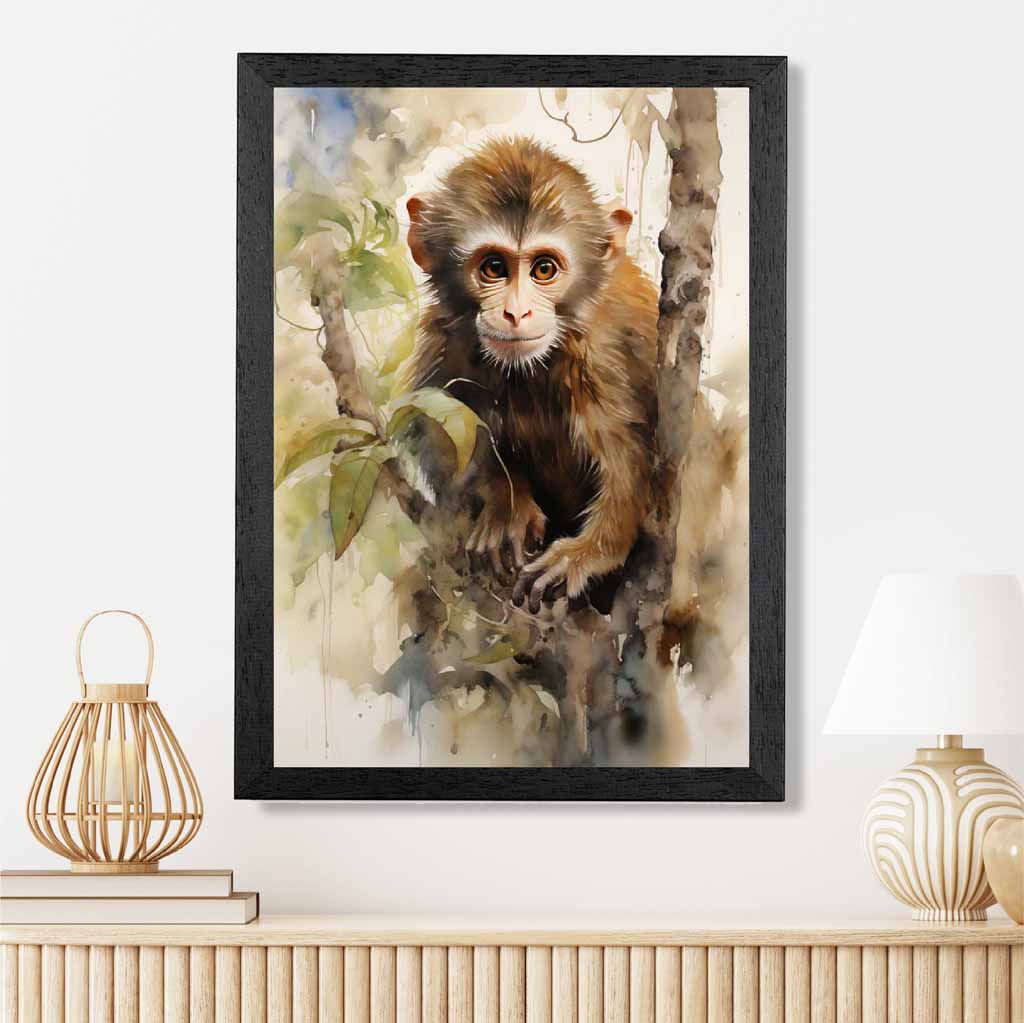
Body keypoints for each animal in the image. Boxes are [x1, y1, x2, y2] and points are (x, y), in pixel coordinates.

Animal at [404, 136, 659, 614]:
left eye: (544, 269)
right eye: (494, 268)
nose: (516, 312)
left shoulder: (603, 357)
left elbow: (636, 465)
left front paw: (590, 552)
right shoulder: (448, 346)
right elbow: (441, 439)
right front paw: (505, 504)